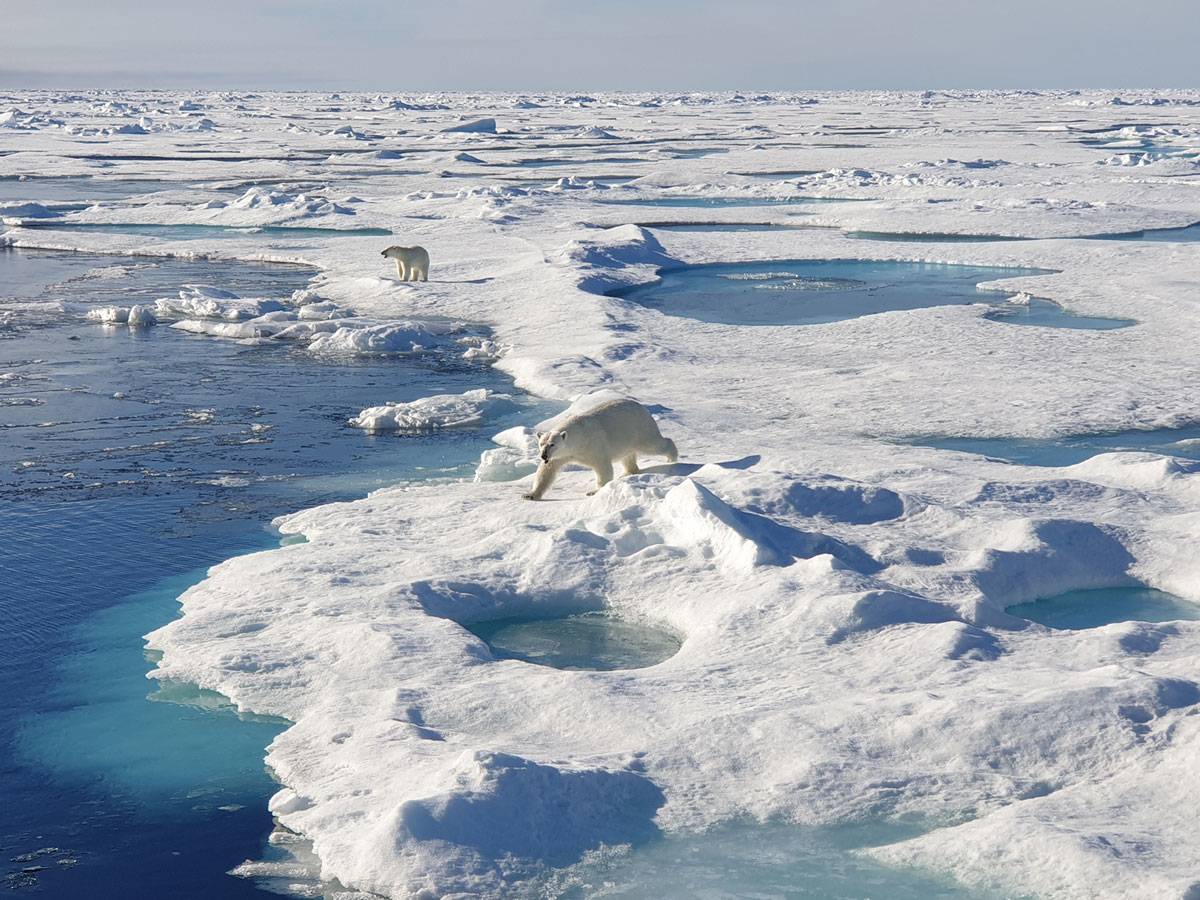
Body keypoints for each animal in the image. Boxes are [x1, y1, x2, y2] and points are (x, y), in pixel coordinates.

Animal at [522, 398, 678, 500]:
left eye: (552, 444)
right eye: (541, 443)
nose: (543, 456)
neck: (579, 437)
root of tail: (642, 407)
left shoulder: (593, 445)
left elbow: (603, 467)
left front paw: (594, 492)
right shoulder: (561, 456)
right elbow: (546, 471)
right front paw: (530, 495)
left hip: (640, 429)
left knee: (654, 444)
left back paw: (672, 458)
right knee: (627, 456)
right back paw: (626, 473)